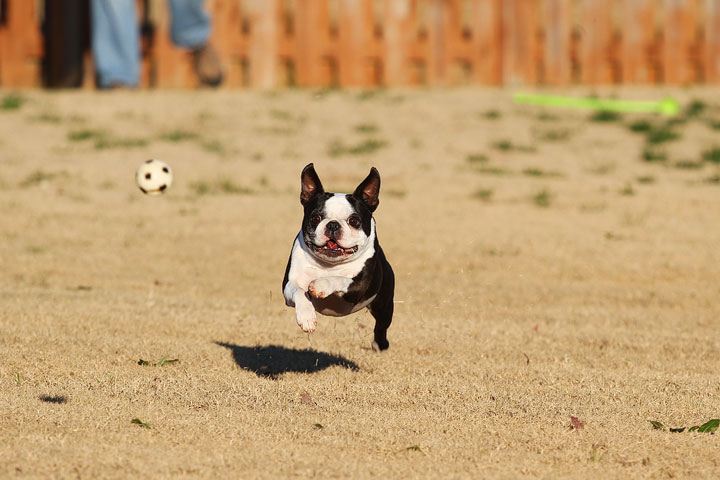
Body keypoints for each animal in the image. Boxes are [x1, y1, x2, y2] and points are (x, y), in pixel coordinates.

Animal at [282, 164, 394, 348]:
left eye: (354, 221)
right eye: (315, 217)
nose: (333, 224)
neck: (329, 265)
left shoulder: (359, 286)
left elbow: (340, 279)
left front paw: (321, 285)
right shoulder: (289, 285)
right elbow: (299, 291)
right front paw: (306, 317)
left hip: (383, 306)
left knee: (381, 326)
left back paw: (379, 344)